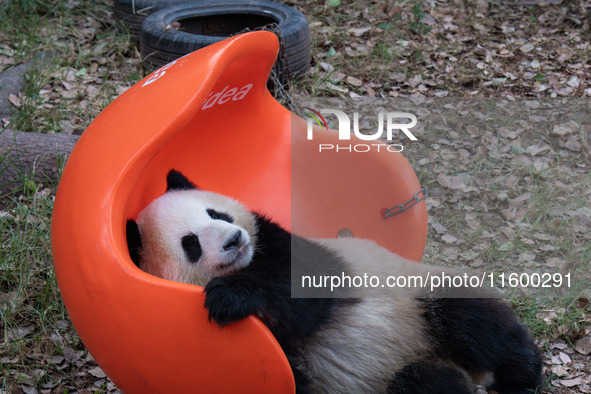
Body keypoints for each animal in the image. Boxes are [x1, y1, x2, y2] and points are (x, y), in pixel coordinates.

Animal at [127, 170, 544, 394]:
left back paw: (522, 375)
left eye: (216, 213)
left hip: (419, 295)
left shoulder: (285, 244)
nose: (234, 240)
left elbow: (305, 289)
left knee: (470, 321)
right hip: (410, 366)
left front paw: (228, 298)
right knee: (425, 381)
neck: (247, 263)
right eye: (191, 243)